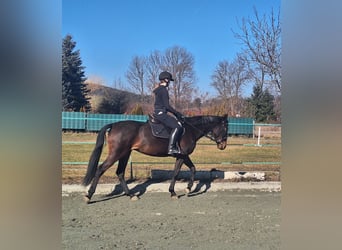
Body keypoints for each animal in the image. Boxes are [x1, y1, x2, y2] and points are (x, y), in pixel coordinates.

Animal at [82, 114, 228, 202]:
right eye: (225, 127)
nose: (223, 145)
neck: (189, 130)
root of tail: (114, 125)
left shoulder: (184, 156)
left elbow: (193, 169)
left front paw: (188, 189)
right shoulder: (182, 155)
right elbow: (176, 173)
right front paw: (174, 193)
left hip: (125, 154)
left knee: (120, 173)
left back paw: (131, 195)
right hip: (116, 153)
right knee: (101, 169)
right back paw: (89, 195)